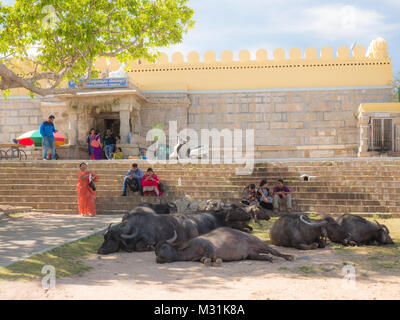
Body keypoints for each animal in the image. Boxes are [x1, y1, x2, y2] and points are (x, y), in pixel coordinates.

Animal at [155, 228, 296, 264]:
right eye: (155, 250)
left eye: (163, 247)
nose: (158, 257)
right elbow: (202, 259)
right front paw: (207, 260)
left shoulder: (208, 245)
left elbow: (211, 254)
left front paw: (216, 259)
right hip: (252, 254)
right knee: (263, 256)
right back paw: (269, 258)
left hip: (259, 242)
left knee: (275, 252)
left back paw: (289, 256)